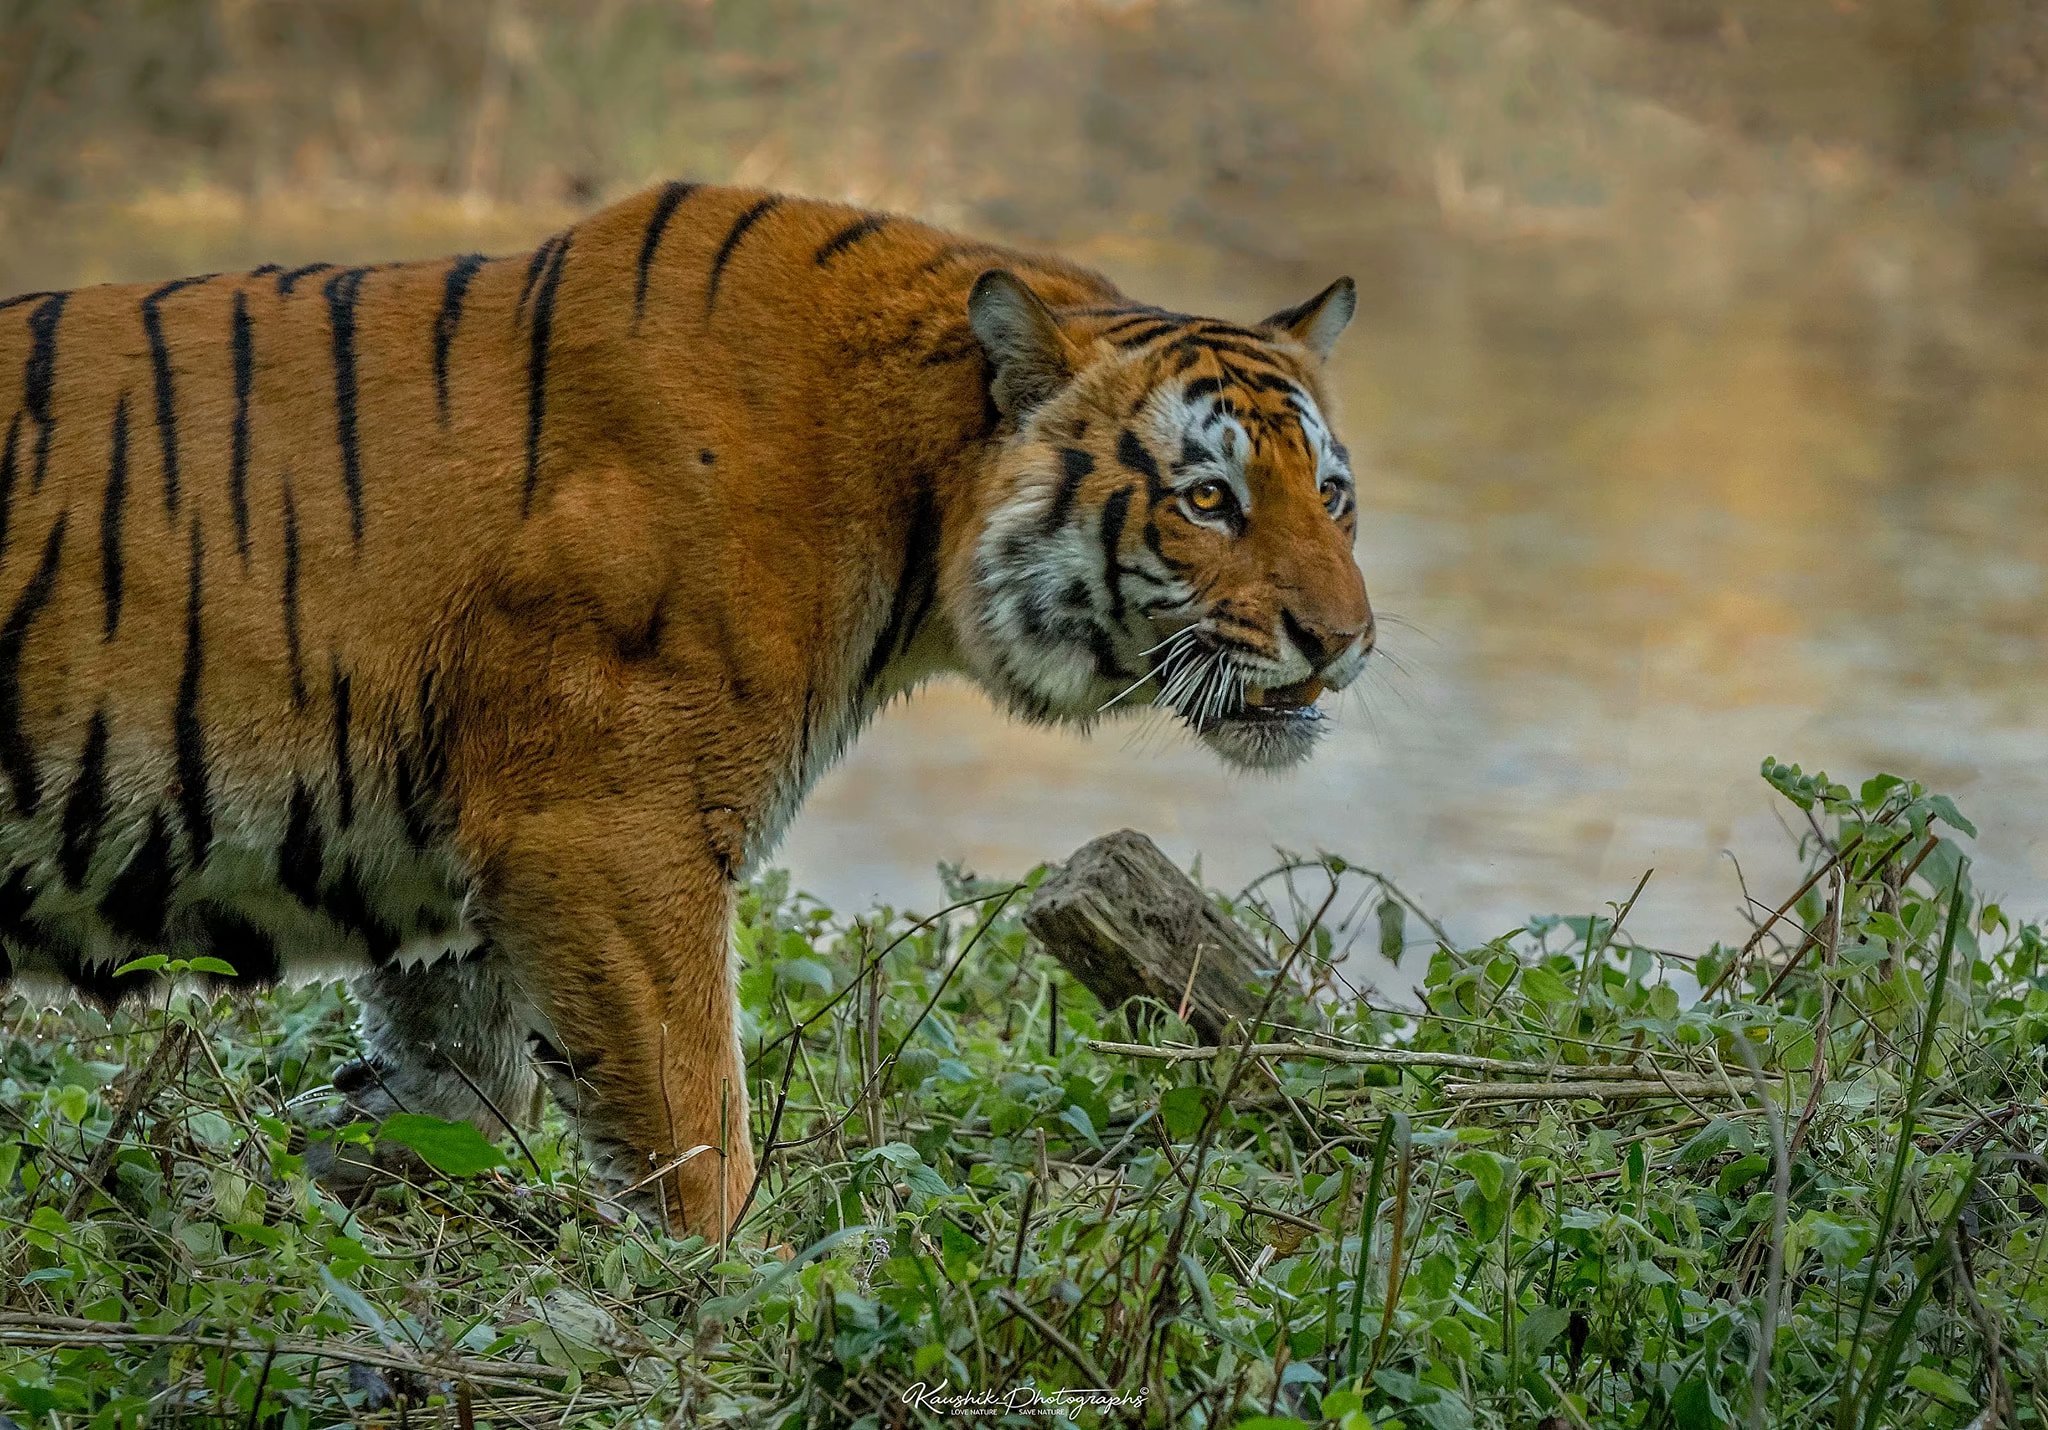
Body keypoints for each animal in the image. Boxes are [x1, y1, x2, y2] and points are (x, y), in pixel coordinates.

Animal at [4, 178, 1376, 1229]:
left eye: (1330, 493)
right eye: (1209, 500)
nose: (1345, 640)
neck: (917, 501)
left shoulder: (472, 877)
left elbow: (443, 1096)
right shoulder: (610, 830)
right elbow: (697, 1127)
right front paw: (728, 1293)